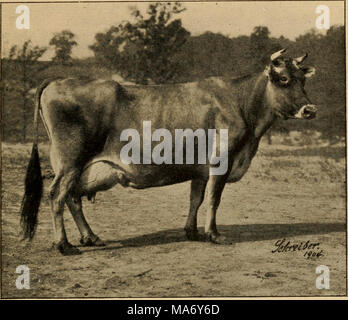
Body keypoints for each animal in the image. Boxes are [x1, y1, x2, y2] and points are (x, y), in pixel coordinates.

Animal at [19, 49, 318, 255]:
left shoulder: (200, 168)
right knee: (57, 195)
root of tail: (58, 80)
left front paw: (192, 231)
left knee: (72, 198)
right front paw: (214, 234)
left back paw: (90, 237)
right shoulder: (221, 161)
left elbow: (196, 198)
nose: (310, 110)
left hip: (76, 165)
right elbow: (214, 199)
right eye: (283, 79)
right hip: (71, 160)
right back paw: (64, 245)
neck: (242, 103)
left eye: (303, 81)